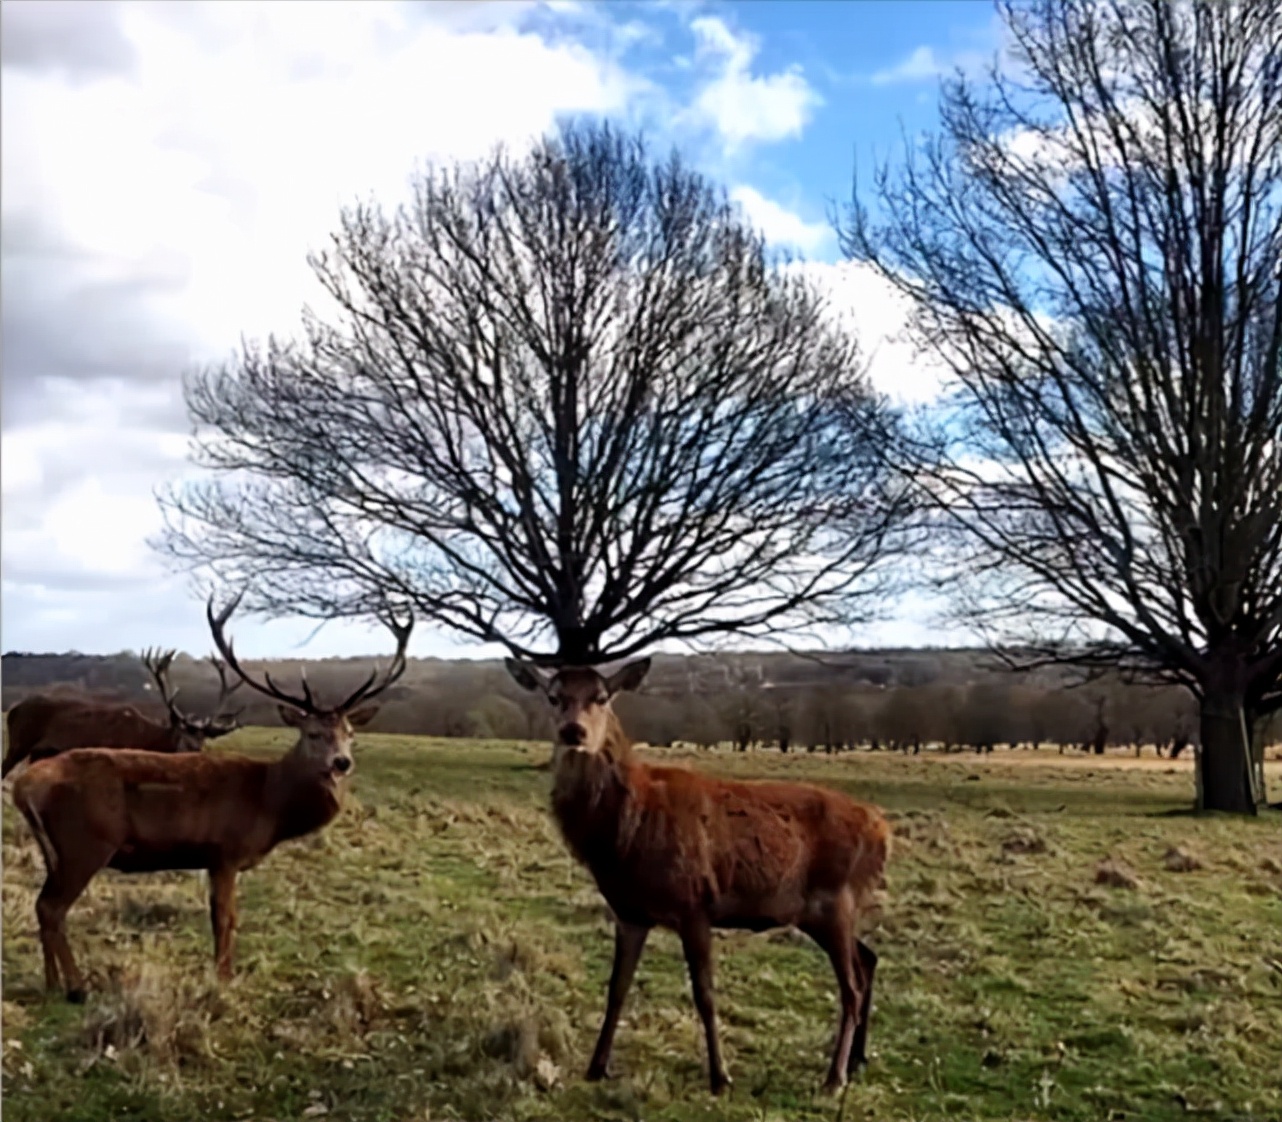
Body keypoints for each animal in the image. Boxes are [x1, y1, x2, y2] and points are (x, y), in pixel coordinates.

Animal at [2, 648, 244, 779]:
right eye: (184, 740)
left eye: (202, 744)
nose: (197, 763)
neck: (146, 740)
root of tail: (13, 709)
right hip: (19, 743)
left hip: (39, 752)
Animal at [507, 656, 892, 1097]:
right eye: (553, 696)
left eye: (601, 697)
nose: (573, 731)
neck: (626, 834)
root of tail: (884, 831)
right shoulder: (630, 913)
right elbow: (617, 987)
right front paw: (596, 1066)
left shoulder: (693, 903)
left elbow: (704, 993)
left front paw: (720, 1076)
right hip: (823, 912)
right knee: (868, 959)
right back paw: (858, 1060)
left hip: (836, 899)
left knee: (852, 985)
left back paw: (834, 1077)